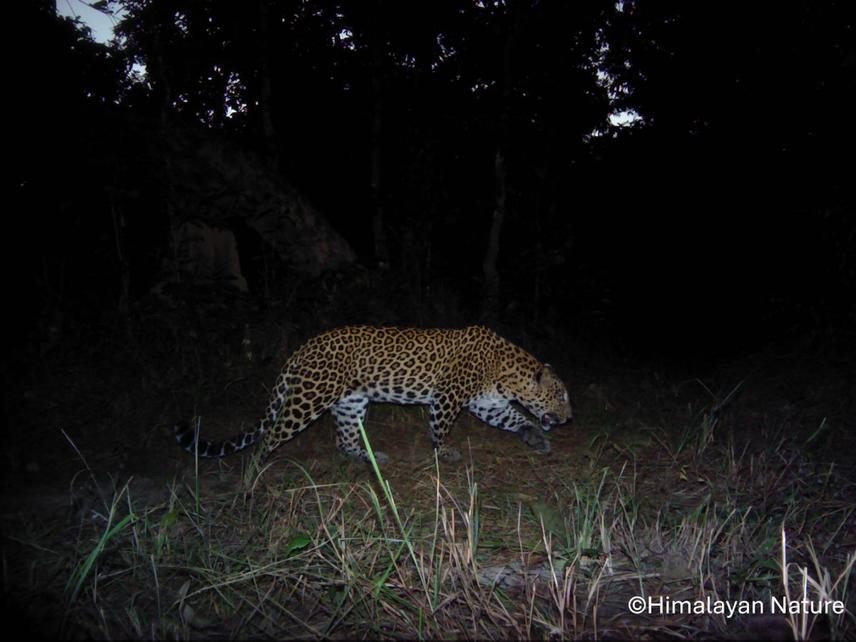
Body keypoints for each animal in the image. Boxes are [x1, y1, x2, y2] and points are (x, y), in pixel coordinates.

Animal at [175, 325, 573, 466]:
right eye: (562, 396)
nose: (570, 418)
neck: (506, 372)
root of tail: (303, 348)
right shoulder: (447, 397)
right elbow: (440, 428)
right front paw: (444, 452)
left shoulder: (486, 403)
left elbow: (516, 417)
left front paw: (537, 439)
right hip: (308, 398)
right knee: (271, 434)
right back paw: (254, 473)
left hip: (352, 402)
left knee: (345, 439)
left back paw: (367, 457)